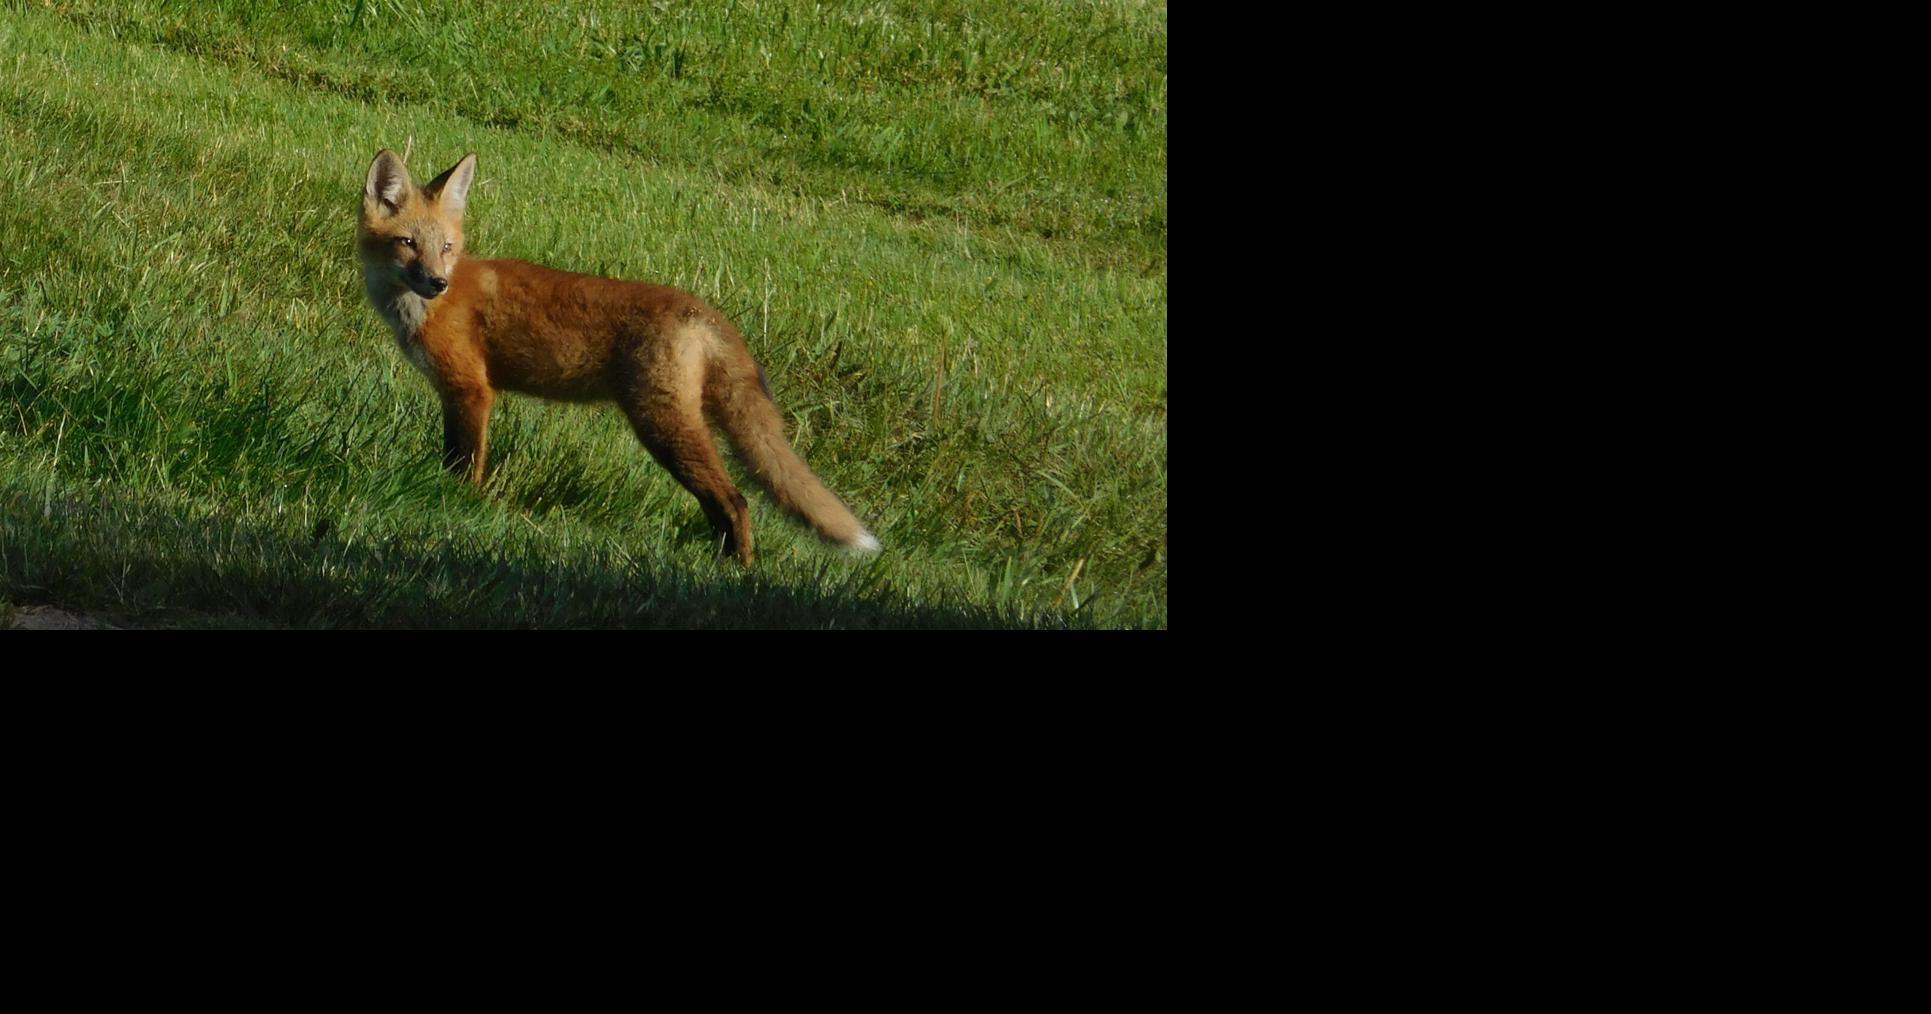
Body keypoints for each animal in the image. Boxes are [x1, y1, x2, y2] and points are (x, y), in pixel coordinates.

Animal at [355, 148, 878, 566]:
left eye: (446, 247)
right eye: (408, 243)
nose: (438, 281)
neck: (423, 309)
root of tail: (703, 309)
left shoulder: (472, 390)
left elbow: (464, 468)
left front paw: (460, 508)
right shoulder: (452, 394)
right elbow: (450, 458)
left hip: (662, 426)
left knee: (735, 500)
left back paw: (739, 571)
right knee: (724, 504)